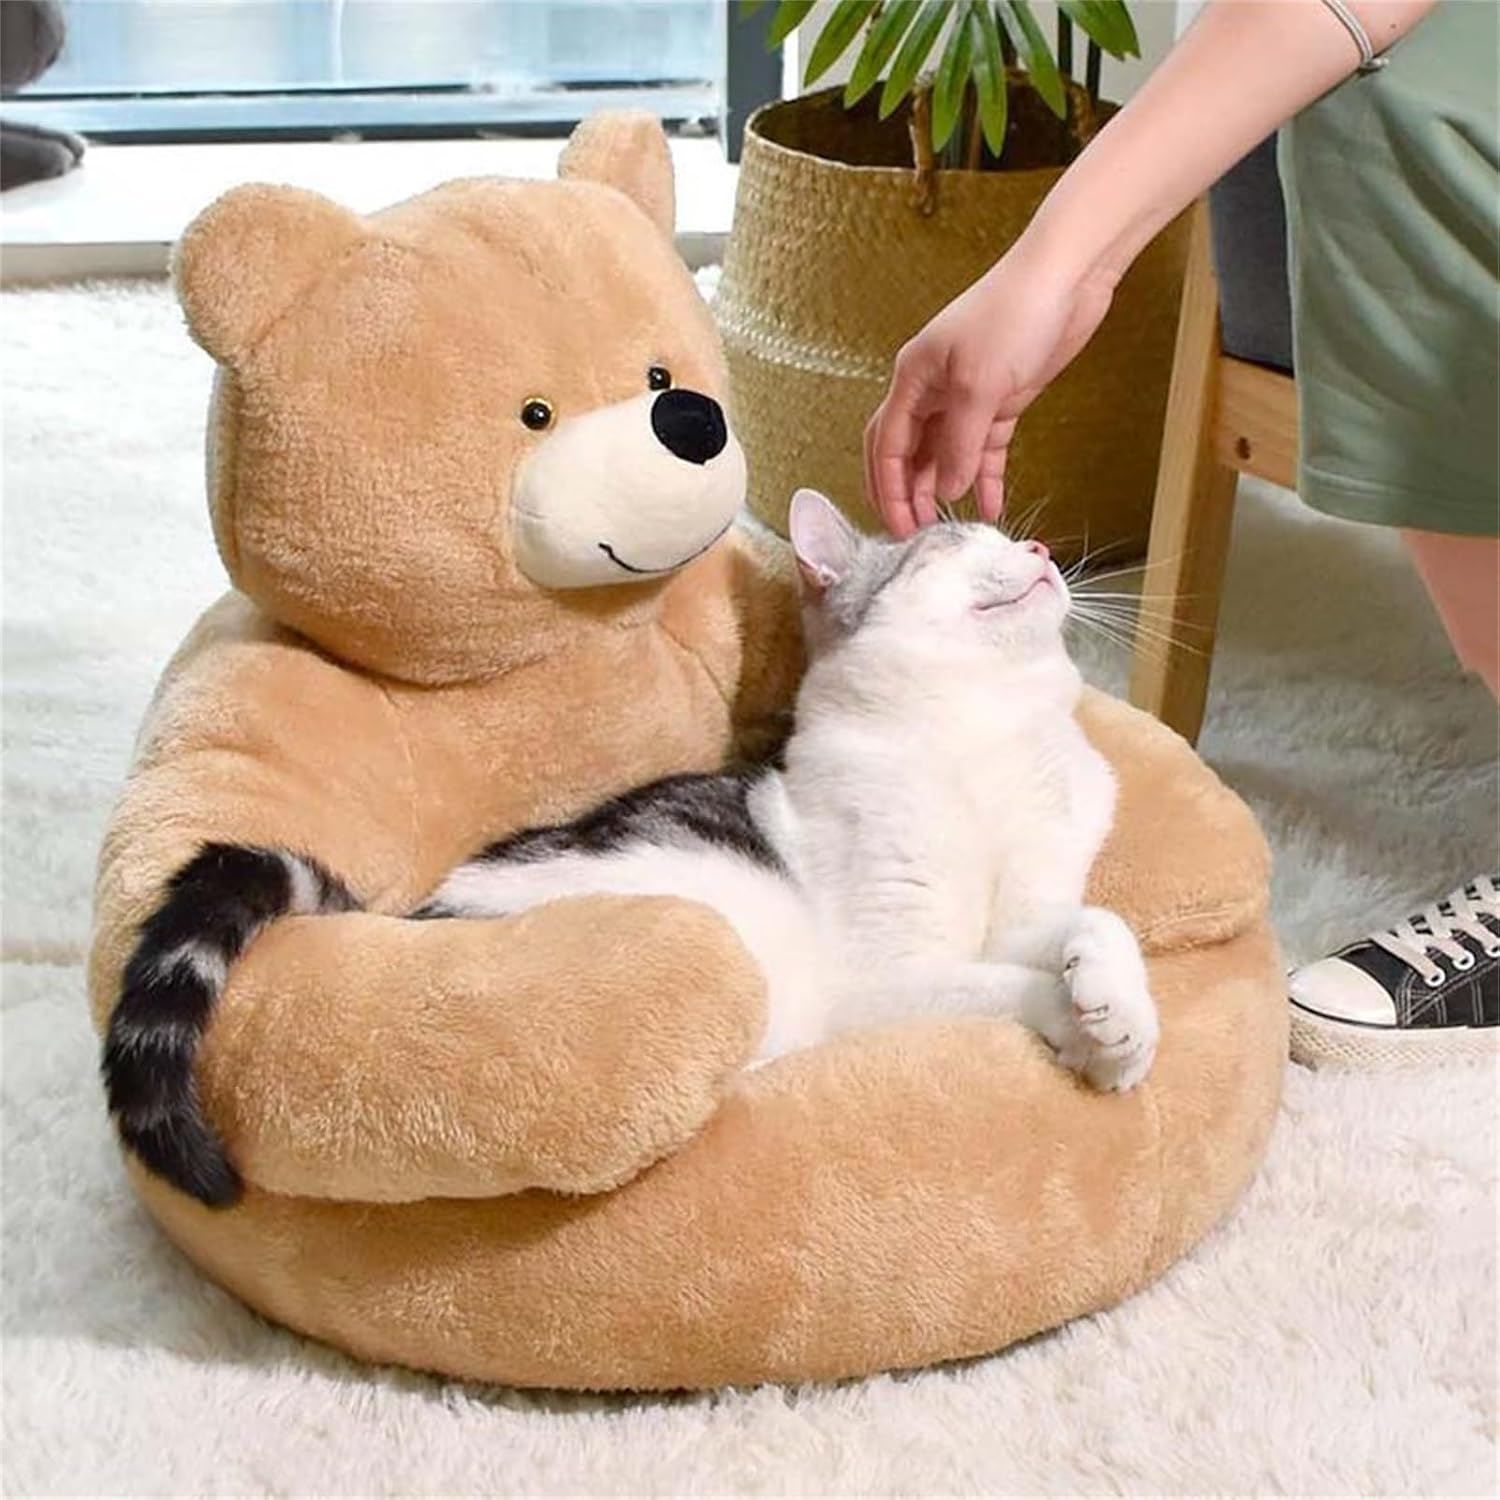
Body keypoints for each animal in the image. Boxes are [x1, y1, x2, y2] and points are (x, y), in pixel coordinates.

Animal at [423, 492, 1158, 1092]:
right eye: (950, 543)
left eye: (1007, 539)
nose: (1040, 551)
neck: (987, 731)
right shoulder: (881, 982)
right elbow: (1010, 985)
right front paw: (1086, 1034)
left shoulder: (1023, 917)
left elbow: (1097, 920)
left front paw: (1124, 1016)